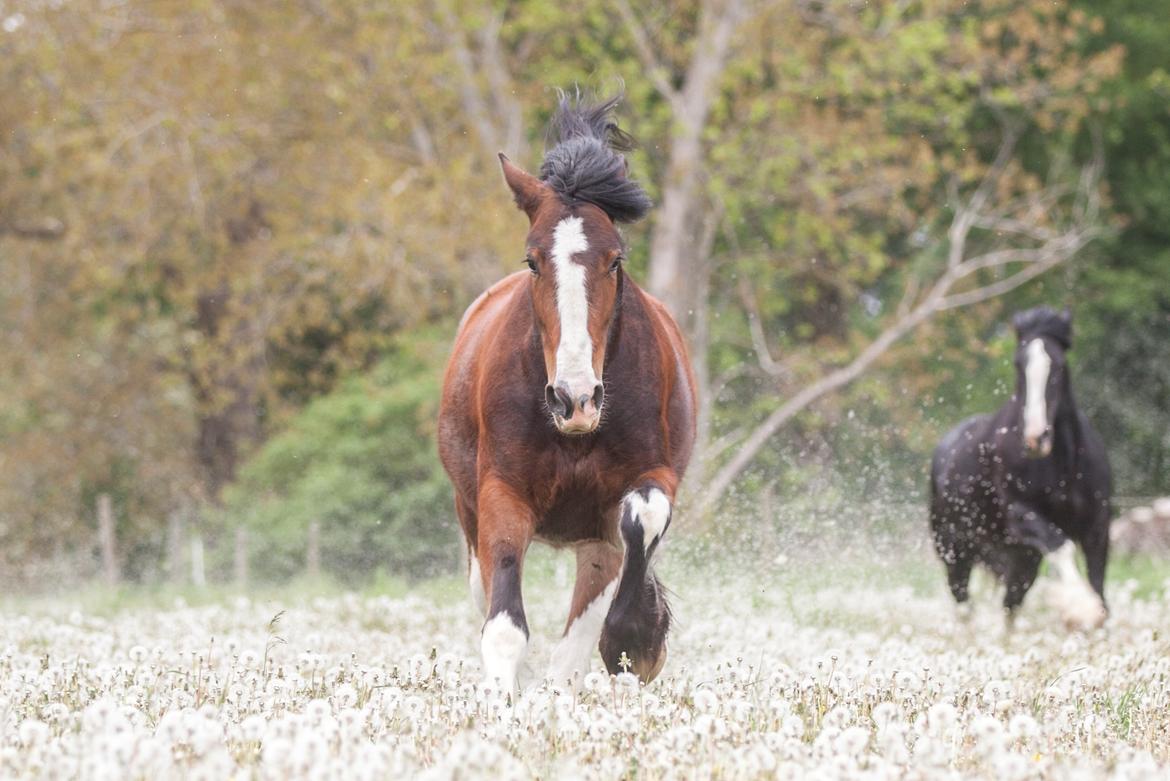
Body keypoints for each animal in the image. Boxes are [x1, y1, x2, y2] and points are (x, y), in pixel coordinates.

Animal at [439, 92, 692, 687]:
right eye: (532, 260)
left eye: (615, 258)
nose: (575, 398)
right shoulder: (501, 492)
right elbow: (504, 624)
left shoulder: (644, 485)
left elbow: (641, 518)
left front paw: (634, 639)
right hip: (469, 512)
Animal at [926, 306, 1109, 626]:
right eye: (1018, 365)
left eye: (1058, 365)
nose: (1036, 438)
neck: (1062, 466)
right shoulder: (1022, 515)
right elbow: (1062, 547)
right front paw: (1078, 608)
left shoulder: (1098, 524)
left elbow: (1097, 583)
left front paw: (1093, 616)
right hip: (955, 550)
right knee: (964, 603)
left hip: (1022, 557)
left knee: (1010, 604)